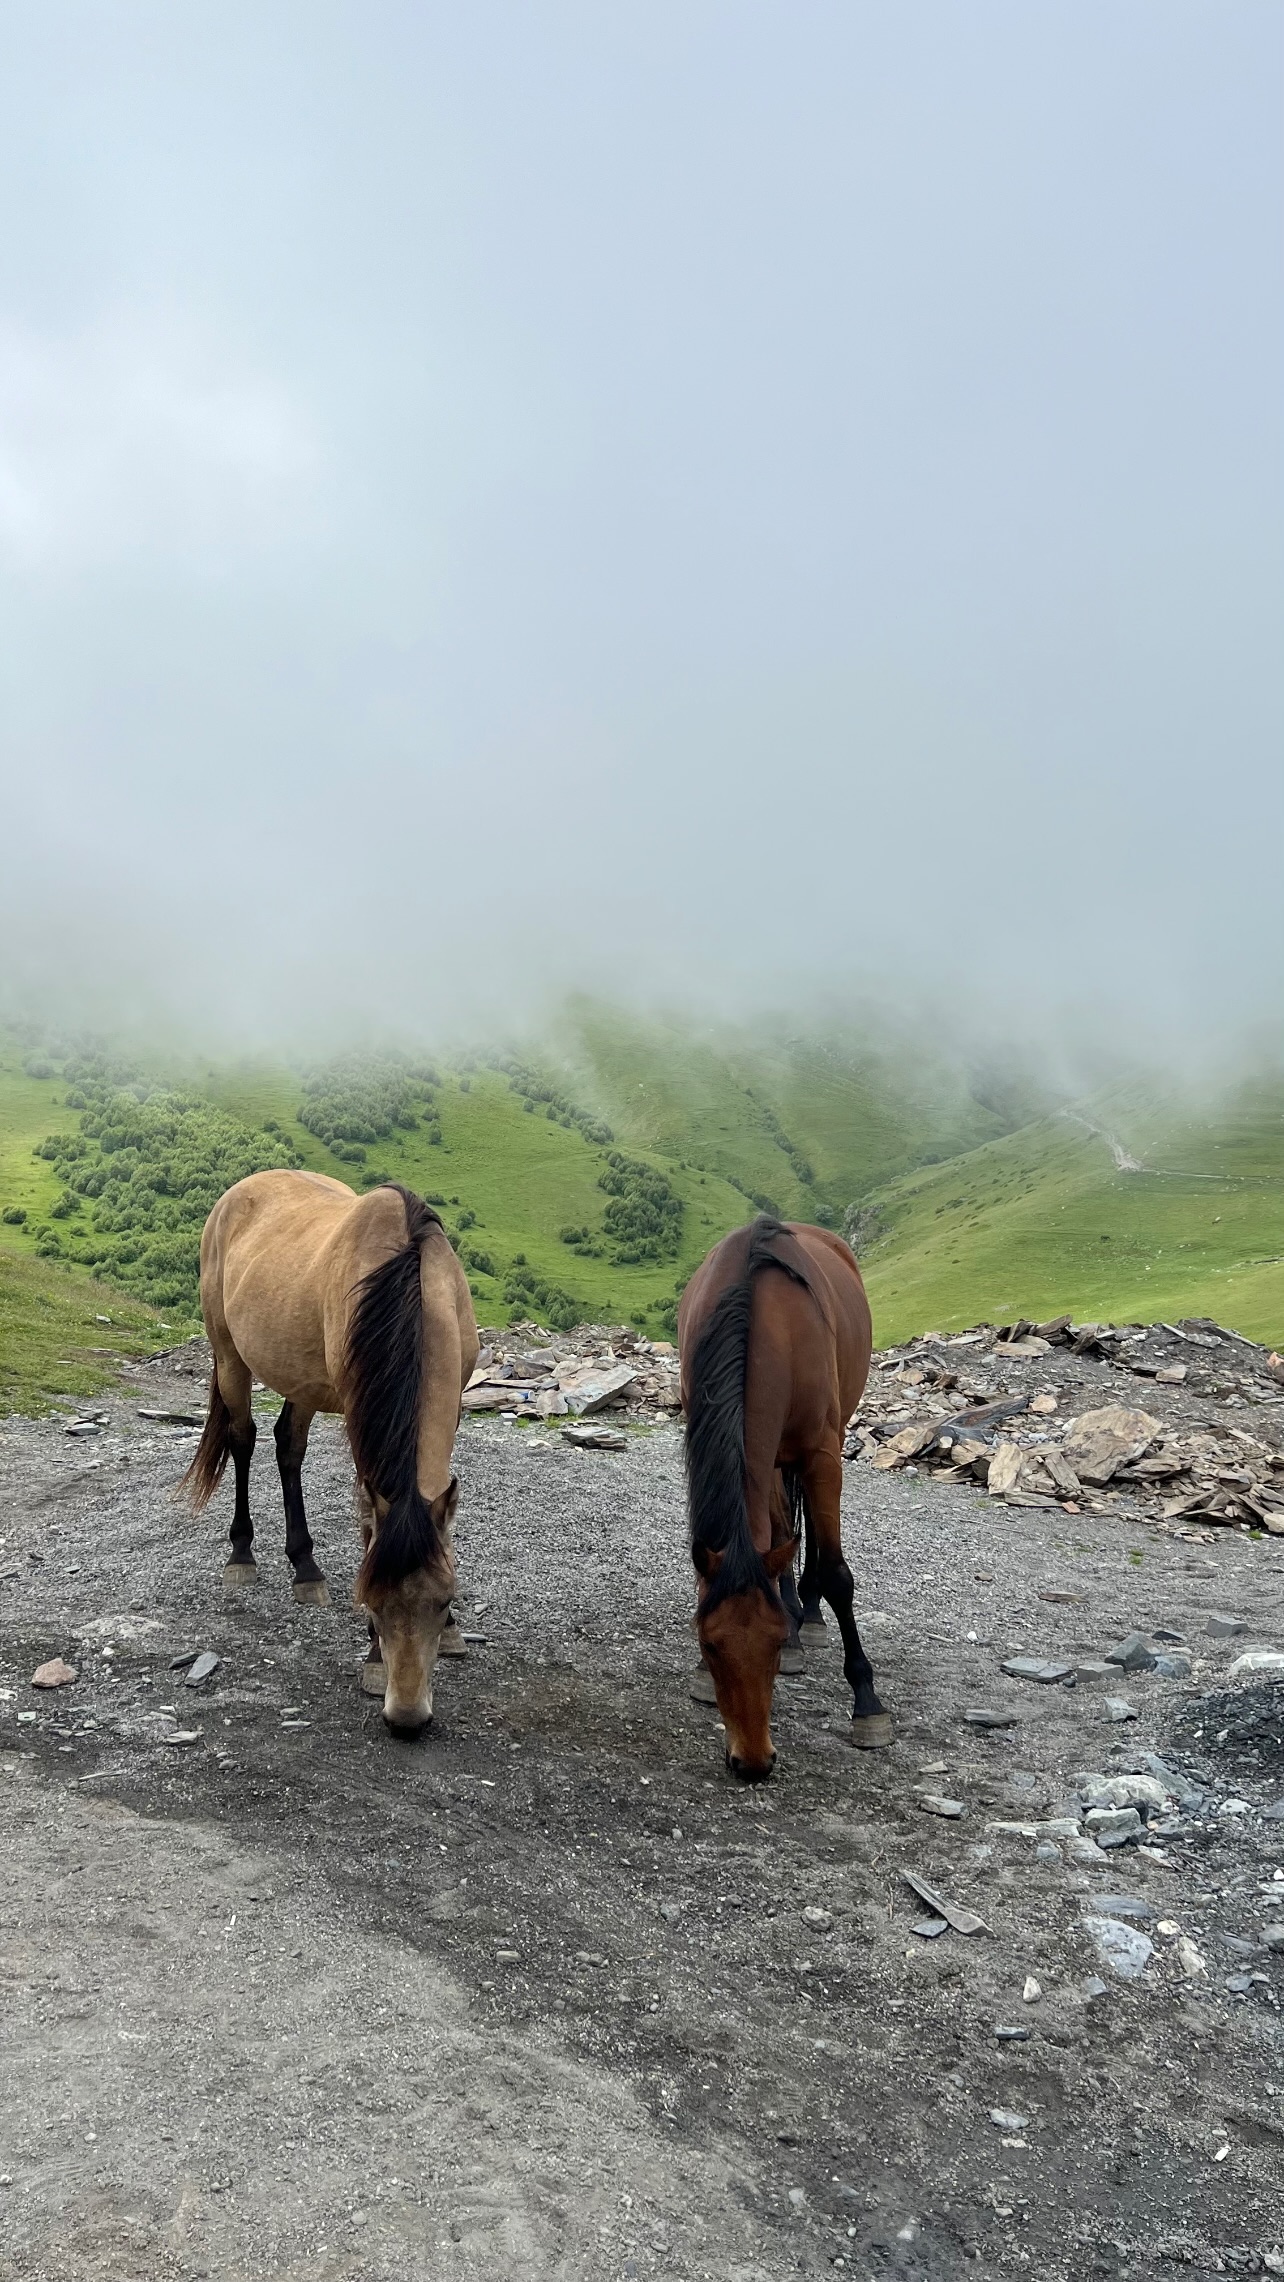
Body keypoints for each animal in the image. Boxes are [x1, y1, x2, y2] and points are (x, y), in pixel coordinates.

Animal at [183, 1177, 478, 1725]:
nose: (407, 1716)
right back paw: (242, 1554)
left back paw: (305, 1567)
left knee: (288, 1447)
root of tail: (235, 1195)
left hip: (301, 1378)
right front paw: (375, 1658)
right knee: (243, 1439)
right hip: (231, 1356)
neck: (413, 1280)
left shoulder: (453, 1405)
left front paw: (451, 1634)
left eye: (444, 1601)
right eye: (371, 1601)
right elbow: (368, 1526)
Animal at [679, 1214, 889, 1779]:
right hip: (773, 1461)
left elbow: (838, 1574)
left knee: (810, 1534)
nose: (752, 1762)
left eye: (770, 1644)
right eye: (708, 1644)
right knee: (780, 1531)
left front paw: (867, 1704)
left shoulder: (822, 1455)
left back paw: (809, 1617)